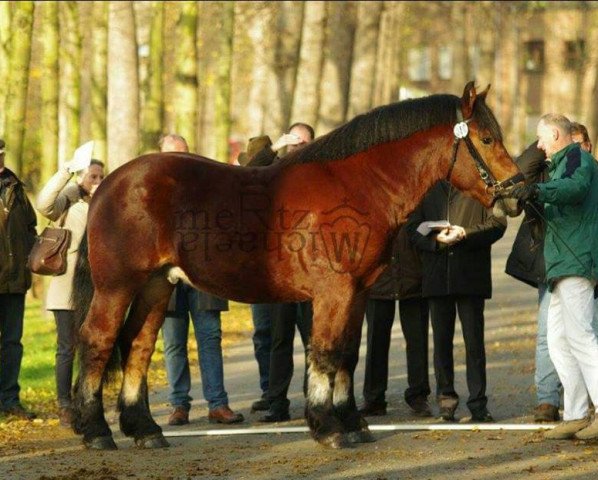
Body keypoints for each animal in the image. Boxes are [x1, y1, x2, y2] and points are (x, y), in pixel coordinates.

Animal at [71, 83, 524, 450]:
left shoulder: (358, 291)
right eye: (486, 138)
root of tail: (109, 183)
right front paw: (328, 427)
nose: (518, 194)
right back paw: (96, 431)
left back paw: (145, 429)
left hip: (156, 285)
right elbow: (325, 352)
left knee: (137, 346)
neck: (359, 187)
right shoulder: (334, 291)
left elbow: (347, 354)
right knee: (97, 341)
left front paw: (352, 422)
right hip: (117, 286)